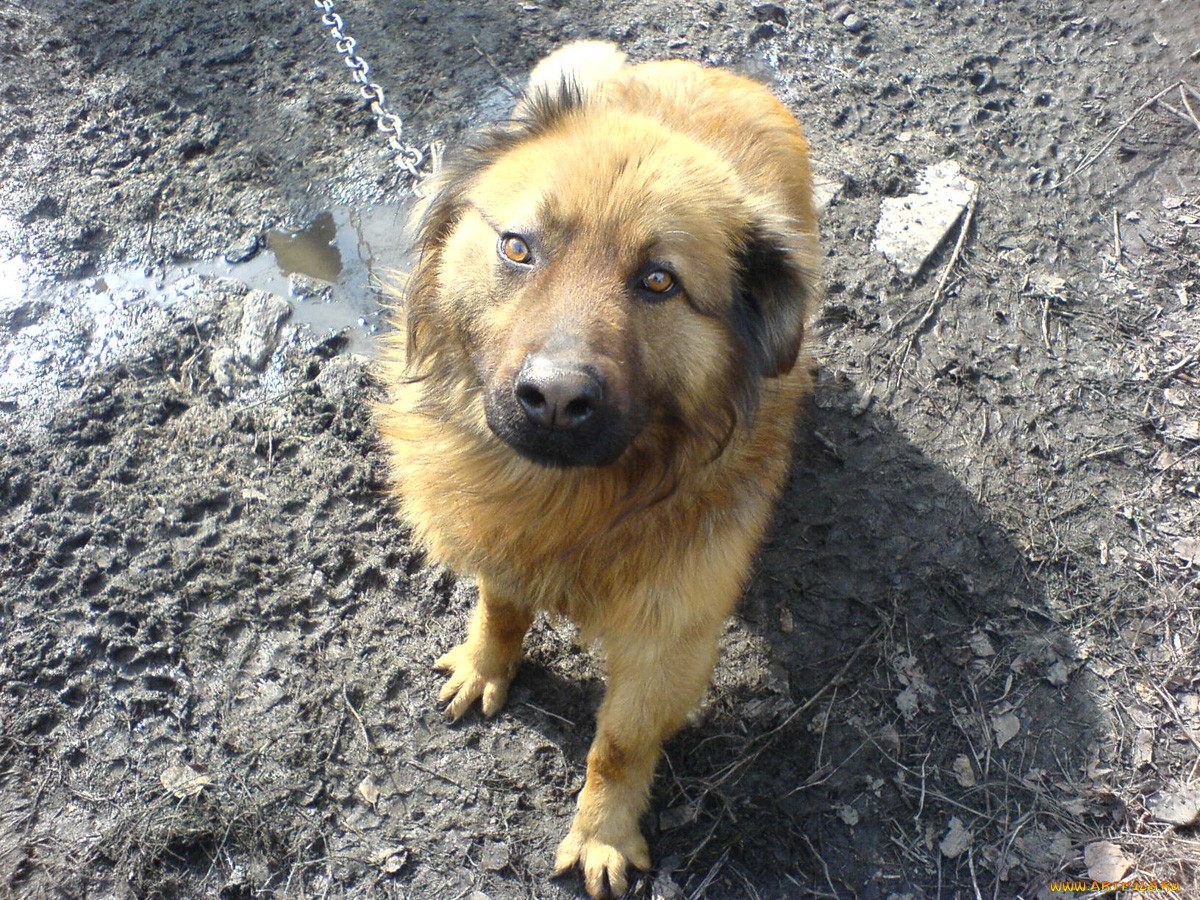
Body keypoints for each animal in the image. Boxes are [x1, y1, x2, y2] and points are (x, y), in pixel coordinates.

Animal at [379, 40, 820, 897]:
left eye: (659, 281)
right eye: (518, 246)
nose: (553, 398)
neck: (573, 497)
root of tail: (716, 73)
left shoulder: (669, 631)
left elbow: (618, 744)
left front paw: (602, 836)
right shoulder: (505, 541)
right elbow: (502, 607)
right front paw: (486, 665)